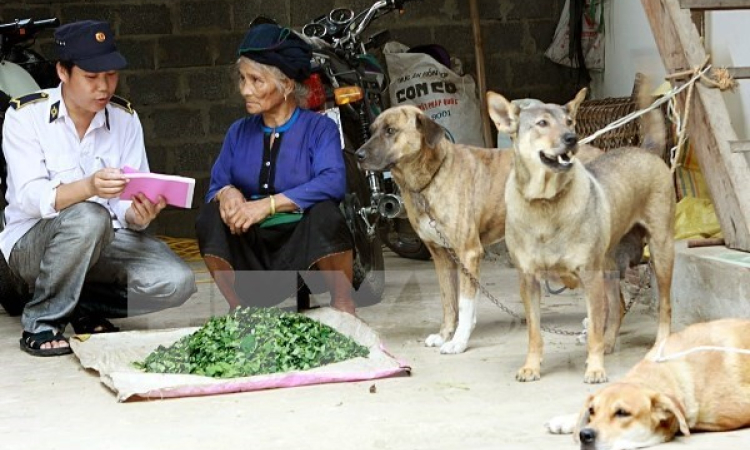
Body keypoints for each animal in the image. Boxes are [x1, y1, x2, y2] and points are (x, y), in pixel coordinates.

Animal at [356, 103, 604, 354]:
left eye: (390, 130)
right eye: (372, 130)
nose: (357, 155)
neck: (431, 178)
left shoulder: (468, 253)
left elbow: (464, 305)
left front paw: (458, 341)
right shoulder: (441, 257)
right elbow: (448, 302)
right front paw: (444, 335)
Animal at [490, 89, 680, 384]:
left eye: (570, 121)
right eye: (542, 123)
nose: (572, 138)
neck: (545, 204)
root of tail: (644, 150)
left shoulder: (590, 277)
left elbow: (593, 332)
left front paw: (595, 369)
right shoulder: (528, 280)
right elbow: (534, 332)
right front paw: (531, 367)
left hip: (660, 252)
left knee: (664, 306)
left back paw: (658, 343)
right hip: (610, 266)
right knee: (619, 306)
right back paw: (611, 341)